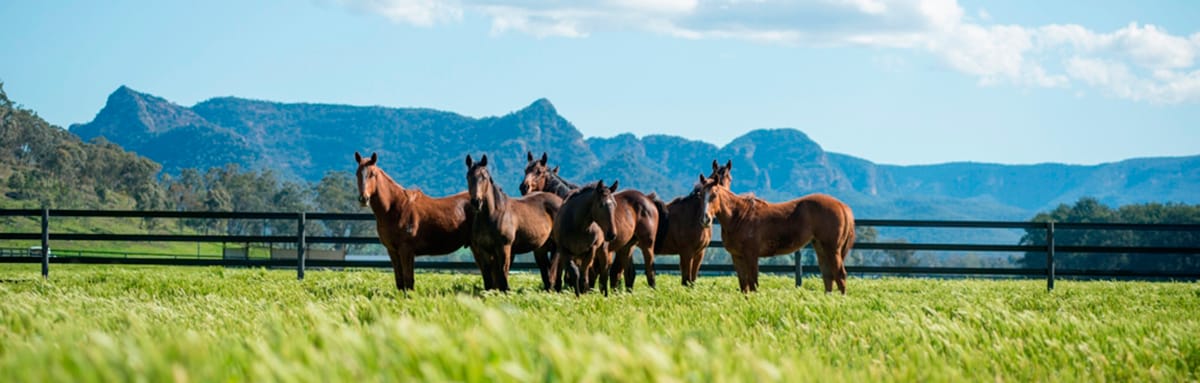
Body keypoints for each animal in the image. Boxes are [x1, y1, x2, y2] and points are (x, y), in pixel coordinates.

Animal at [350, 152, 472, 290]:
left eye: (372, 174)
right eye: (357, 173)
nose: (363, 199)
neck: (396, 208)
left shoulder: (406, 250)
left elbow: (408, 281)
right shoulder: (393, 251)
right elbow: (400, 281)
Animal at [465, 154, 564, 292]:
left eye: (484, 177)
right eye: (468, 176)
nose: (476, 202)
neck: (493, 214)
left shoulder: (504, 247)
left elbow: (502, 273)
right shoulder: (484, 250)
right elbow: (488, 277)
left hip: (556, 247)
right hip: (541, 248)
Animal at [700, 176, 859, 294]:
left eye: (714, 195)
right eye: (700, 195)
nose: (705, 219)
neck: (739, 216)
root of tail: (842, 206)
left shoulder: (751, 255)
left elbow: (753, 284)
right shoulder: (737, 256)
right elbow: (744, 285)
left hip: (832, 249)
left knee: (840, 275)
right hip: (821, 248)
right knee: (828, 276)